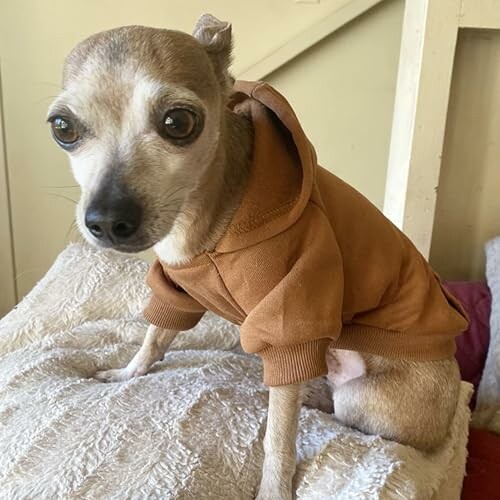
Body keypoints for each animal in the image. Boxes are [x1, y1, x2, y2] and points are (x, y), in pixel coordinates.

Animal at [48, 15, 466, 500]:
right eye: (62, 127)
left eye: (177, 121)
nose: (108, 220)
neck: (203, 222)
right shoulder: (176, 289)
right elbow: (155, 336)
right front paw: (127, 372)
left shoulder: (288, 324)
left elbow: (279, 438)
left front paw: (274, 488)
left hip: (368, 399)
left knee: (341, 412)